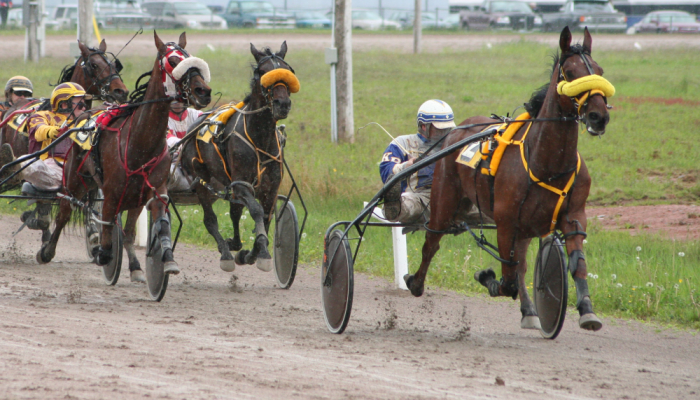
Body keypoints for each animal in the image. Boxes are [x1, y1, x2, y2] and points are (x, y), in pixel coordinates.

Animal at [37, 33, 212, 284]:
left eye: (190, 57)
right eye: (173, 61)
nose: (203, 91)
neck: (141, 143)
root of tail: (83, 116)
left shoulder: (154, 190)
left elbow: (150, 227)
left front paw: (163, 261)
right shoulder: (111, 193)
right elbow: (107, 229)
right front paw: (103, 254)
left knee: (124, 230)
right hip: (75, 180)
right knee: (64, 211)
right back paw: (48, 251)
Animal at [179, 41, 296, 272]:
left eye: (287, 71)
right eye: (263, 72)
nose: (283, 103)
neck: (260, 139)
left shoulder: (270, 187)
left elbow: (266, 217)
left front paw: (251, 253)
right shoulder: (242, 184)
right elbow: (257, 211)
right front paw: (262, 253)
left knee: (234, 211)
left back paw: (234, 244)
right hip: (201, 181)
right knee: (210, 220)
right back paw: (225, 253)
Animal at [404, 27, 612, 332]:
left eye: (598, 70)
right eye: (570, 72)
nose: (599, 116)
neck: (545, 162)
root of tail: (457, 130)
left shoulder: (573, 215)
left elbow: (575, 265)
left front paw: (587, 310)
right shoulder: (505, 222)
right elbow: (508, 279)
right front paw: (487, 277)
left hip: (523, 227)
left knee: (520, 265)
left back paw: (529, 311)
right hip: (444, 200)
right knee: (432, 242)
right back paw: (415, 282)